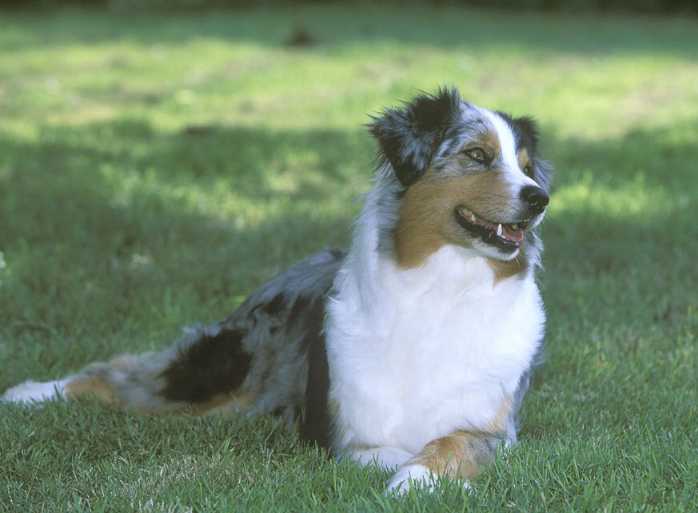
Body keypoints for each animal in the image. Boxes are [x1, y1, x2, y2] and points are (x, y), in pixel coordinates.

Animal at [2, 87, 552, 494]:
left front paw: (416, 477)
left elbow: (456, 441)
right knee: (122, 374)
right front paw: (409, 473)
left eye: (526, 167)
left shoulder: (499, 428)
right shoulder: (345, 435)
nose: (540, 198)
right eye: (477, 155)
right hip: (218, 371)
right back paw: (28, 393)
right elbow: (385, 449)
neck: (445, 287)